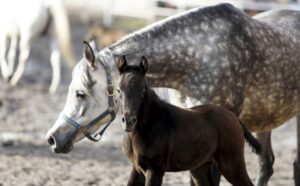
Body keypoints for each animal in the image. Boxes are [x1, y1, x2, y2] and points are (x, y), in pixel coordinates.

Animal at [118, 55, 260, 186]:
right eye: (119, 90)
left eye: (142, 90)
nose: (129, 121)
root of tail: (233, 116)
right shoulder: (137, 169)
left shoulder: (154, 169)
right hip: (200, 168)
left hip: (232, 165)